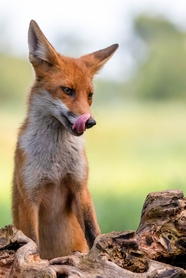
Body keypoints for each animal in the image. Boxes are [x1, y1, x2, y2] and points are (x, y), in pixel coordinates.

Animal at [12, 20, 119, 260]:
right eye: (67, 90)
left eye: (90, 95)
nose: (90, 122)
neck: (56, 163)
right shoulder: (29, 197)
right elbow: (33, 242)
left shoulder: (80, 188)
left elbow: (93, 232)